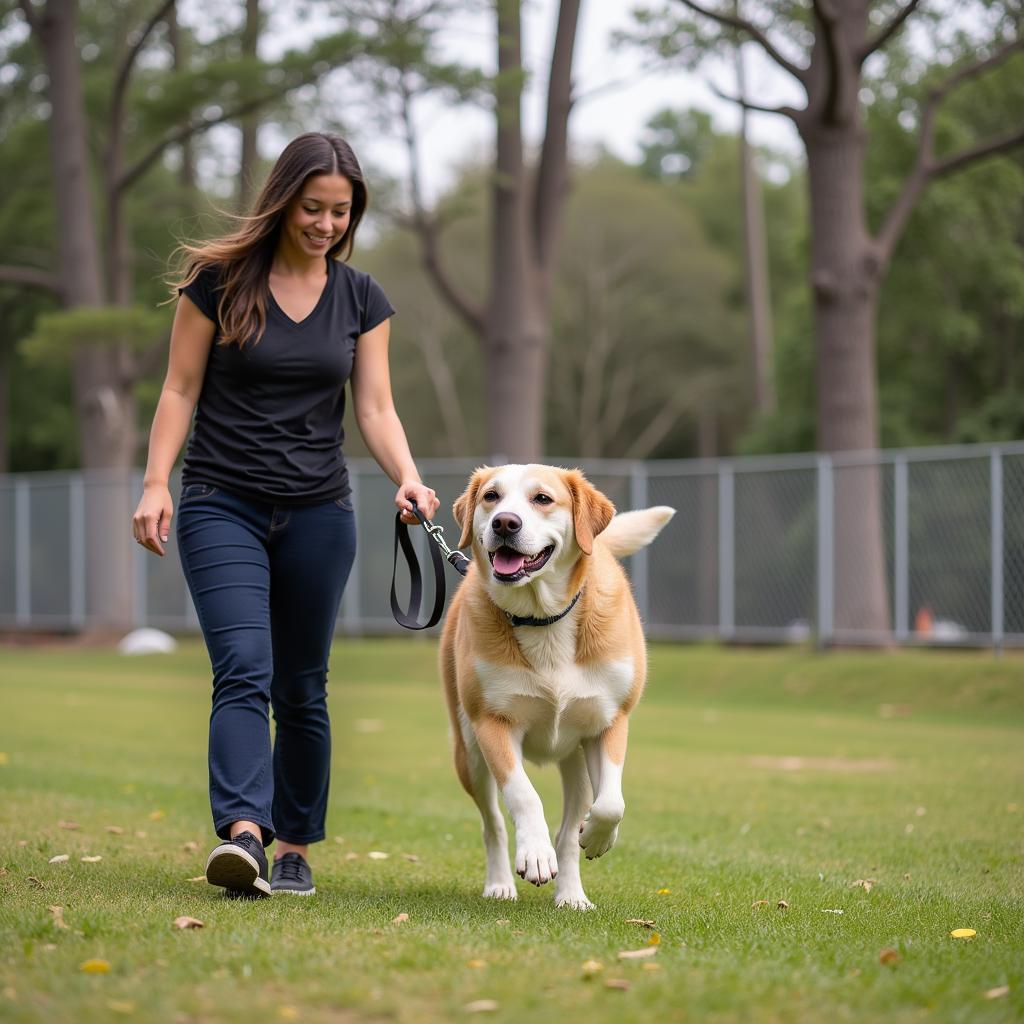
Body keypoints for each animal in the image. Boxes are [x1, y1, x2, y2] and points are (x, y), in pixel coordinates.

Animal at [438, 468, 671, 909]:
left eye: (543, 499)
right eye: (491, 496)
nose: (505, 523)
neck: (542, 618)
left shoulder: (610, 721)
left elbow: (611, 803)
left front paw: (596, 837)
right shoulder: (492, 722)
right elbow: (523, 795)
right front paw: (534, 854)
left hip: (574, 762)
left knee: (569, 828)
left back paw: (572, 894)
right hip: (468, 754)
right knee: (493, 823)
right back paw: (500, 884)